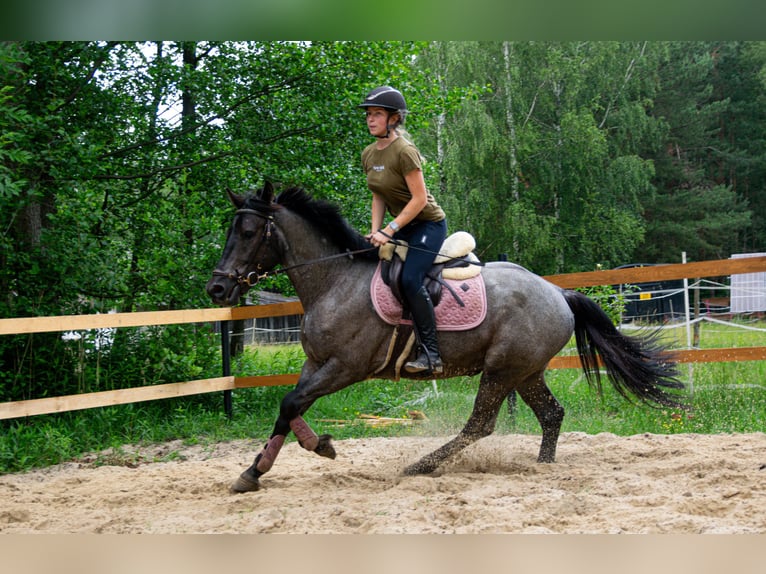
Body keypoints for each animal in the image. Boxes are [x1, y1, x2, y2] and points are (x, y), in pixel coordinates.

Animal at [206, 184, 684, 496]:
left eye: (247, 233)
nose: (217, 289)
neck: (334, 280)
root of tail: (559, 293)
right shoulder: (315, 364)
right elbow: (288, 408)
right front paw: (270, 464)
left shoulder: (346, 367)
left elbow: (290, 404)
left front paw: (306, 451)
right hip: (526, 371)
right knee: (551, 414)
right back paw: (542, 467)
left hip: (501, 370)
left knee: (481, 424)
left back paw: (420, 466)